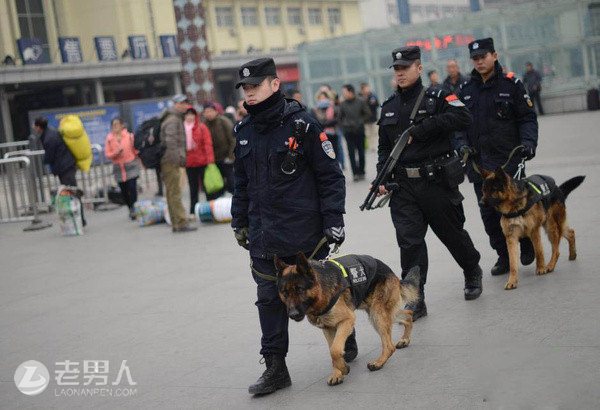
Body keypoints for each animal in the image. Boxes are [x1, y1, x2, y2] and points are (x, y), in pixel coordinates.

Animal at [276, 251, 420, 386]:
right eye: (284, 293)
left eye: (300, 290)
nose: (293, 314)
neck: (321, 291)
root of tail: (389, 270)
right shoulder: (328, 328)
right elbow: (332, 350)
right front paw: (337, 373)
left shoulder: (347, 320)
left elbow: (335, 350)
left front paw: (343, 368)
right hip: (379, 312)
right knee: (408, 314)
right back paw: (405, 339)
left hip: (377, 314)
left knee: (389, 346)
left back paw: (378, 363)